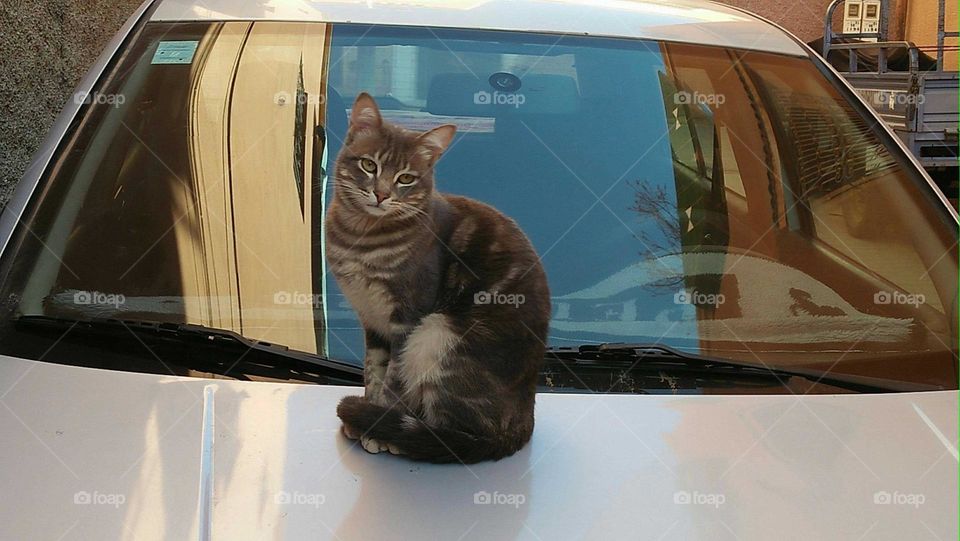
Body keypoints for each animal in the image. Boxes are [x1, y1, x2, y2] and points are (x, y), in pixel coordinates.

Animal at [326, 94, 552, 464]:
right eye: (369, 165)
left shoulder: (406, 318)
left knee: (456, 432)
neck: (360, 239)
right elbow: (373, 372)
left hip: (438, 335)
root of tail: (524, 423)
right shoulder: (371, 320)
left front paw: (375, 424)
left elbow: (393, 380)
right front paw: (368, 413)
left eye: (405, 178)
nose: (381, 194)